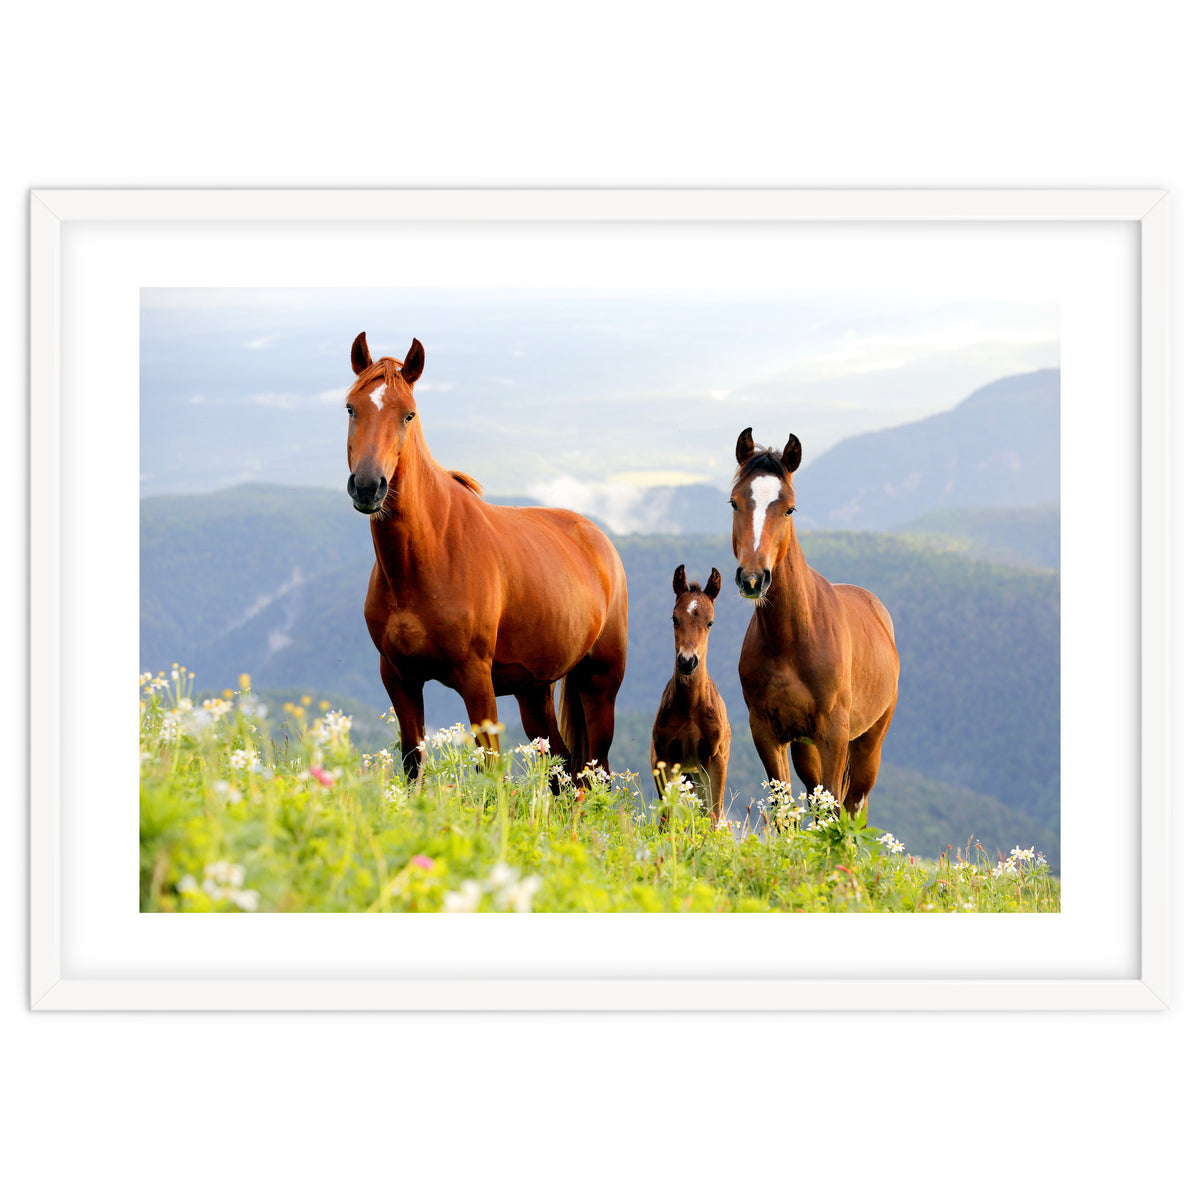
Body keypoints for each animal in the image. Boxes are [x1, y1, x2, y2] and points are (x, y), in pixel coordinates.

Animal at [344, 332, 628, 781]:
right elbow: (412, 762)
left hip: (599, 683)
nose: (369, 486)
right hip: (534, 691)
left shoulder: (476, 678)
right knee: (562, 767)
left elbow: (491, 769)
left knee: (592, 772)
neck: (427, 558)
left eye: (408, 415)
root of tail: (600, 541)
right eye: (351, 407)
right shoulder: (399, 676)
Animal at [650, 565, 731, 825]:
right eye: (675, 619)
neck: (690, 707)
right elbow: (666, 818)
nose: (687, 661)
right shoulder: (665, 758)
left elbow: (714, 816)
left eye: (710, 622)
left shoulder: (715, 759)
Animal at [730, 427, 899, 820]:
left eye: (789, 508)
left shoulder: (833, 734)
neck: (791, 639)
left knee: (854, 804)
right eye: (734, 503)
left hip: (868, 742)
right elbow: (784, 810)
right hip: (805, 748)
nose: (752, 579)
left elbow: (836, 807)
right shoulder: (767, 733)